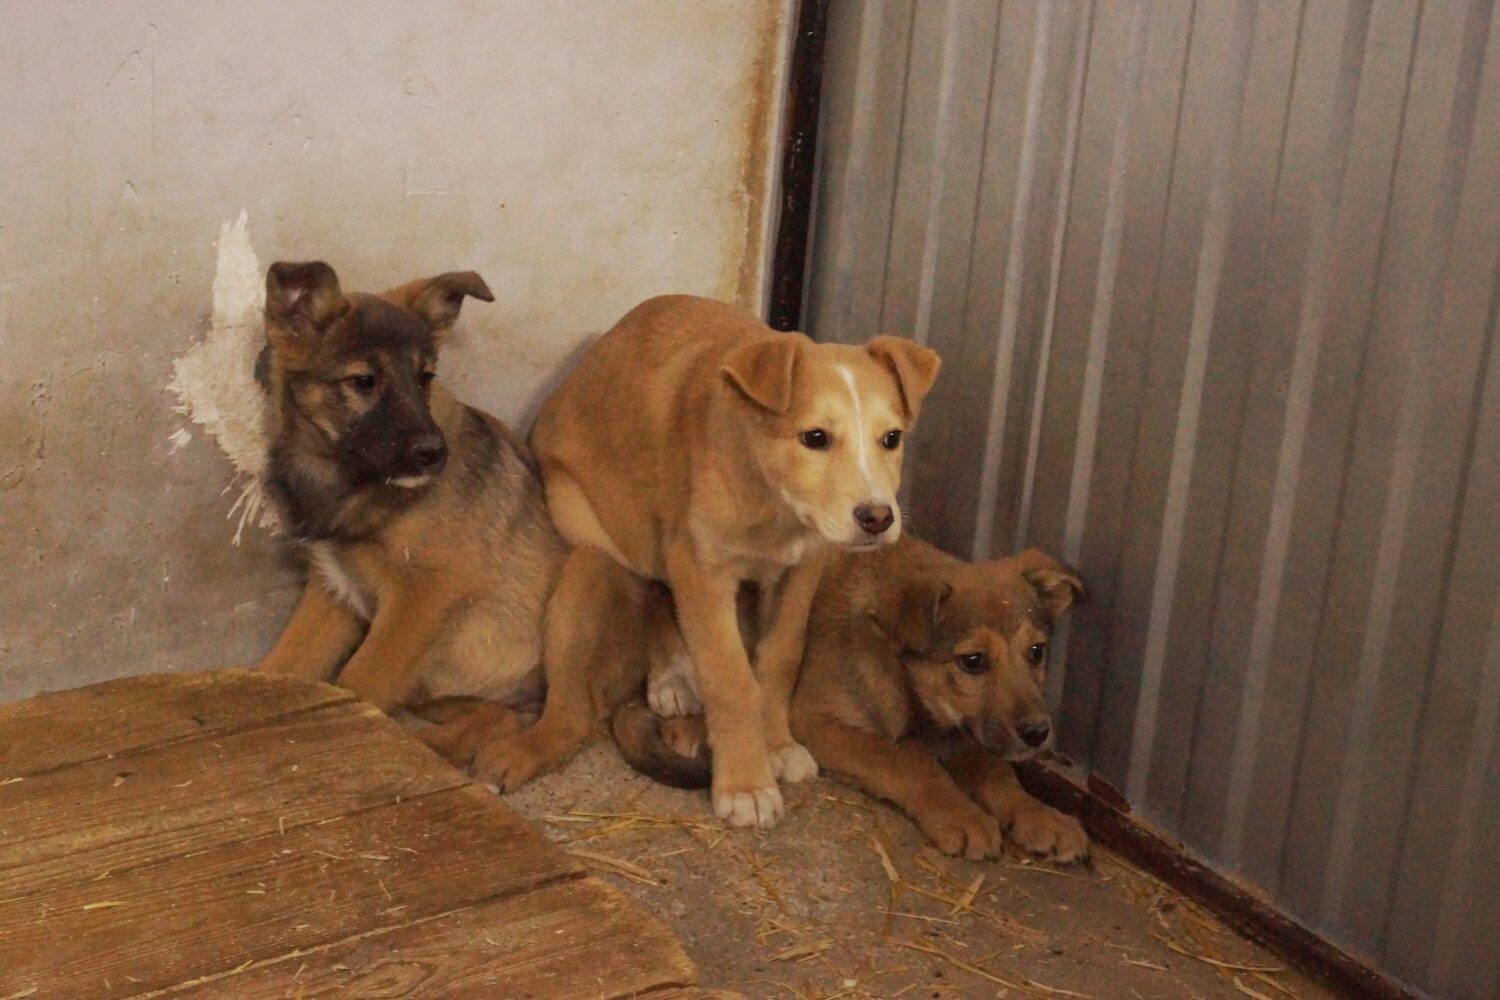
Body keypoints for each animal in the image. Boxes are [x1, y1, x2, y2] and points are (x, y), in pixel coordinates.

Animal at [255, 262, 588, 731]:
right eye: (364, 381)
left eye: (424, 378)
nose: (434, 454)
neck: (348, 480)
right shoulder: (333, 588)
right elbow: (287, 664)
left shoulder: (424, 593)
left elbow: (363, 679)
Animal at [477, 296, 936, 827]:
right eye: (816, 437)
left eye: (892, 438)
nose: (877, 518)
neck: (773, 502)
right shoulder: (701, 568)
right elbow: (730, 677)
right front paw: (746, 784)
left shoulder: (799, 572)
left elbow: (778, 659)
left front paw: (777, 746)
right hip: (600, 544)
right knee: (625, 627)